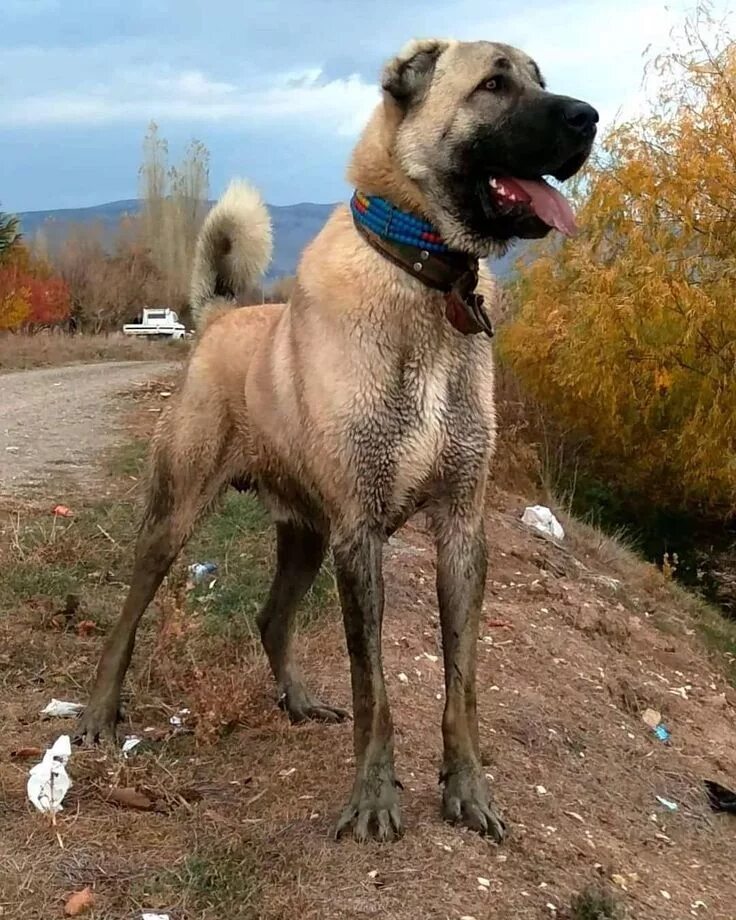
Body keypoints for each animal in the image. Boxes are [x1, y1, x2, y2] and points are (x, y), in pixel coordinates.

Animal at [79, 37, 600, 840]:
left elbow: (462, 684)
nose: (590, 117)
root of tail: (219, 318)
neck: (426, 284)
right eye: (494, 85)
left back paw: (295, 700)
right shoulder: (361, 532)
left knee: (270, 618)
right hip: (178, 513)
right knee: (130, 611)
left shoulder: (460, 529)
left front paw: (468, 791)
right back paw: (103, 711)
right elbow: (373, 687)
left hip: (306, 534)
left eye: (542, 79)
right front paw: (374, 798)